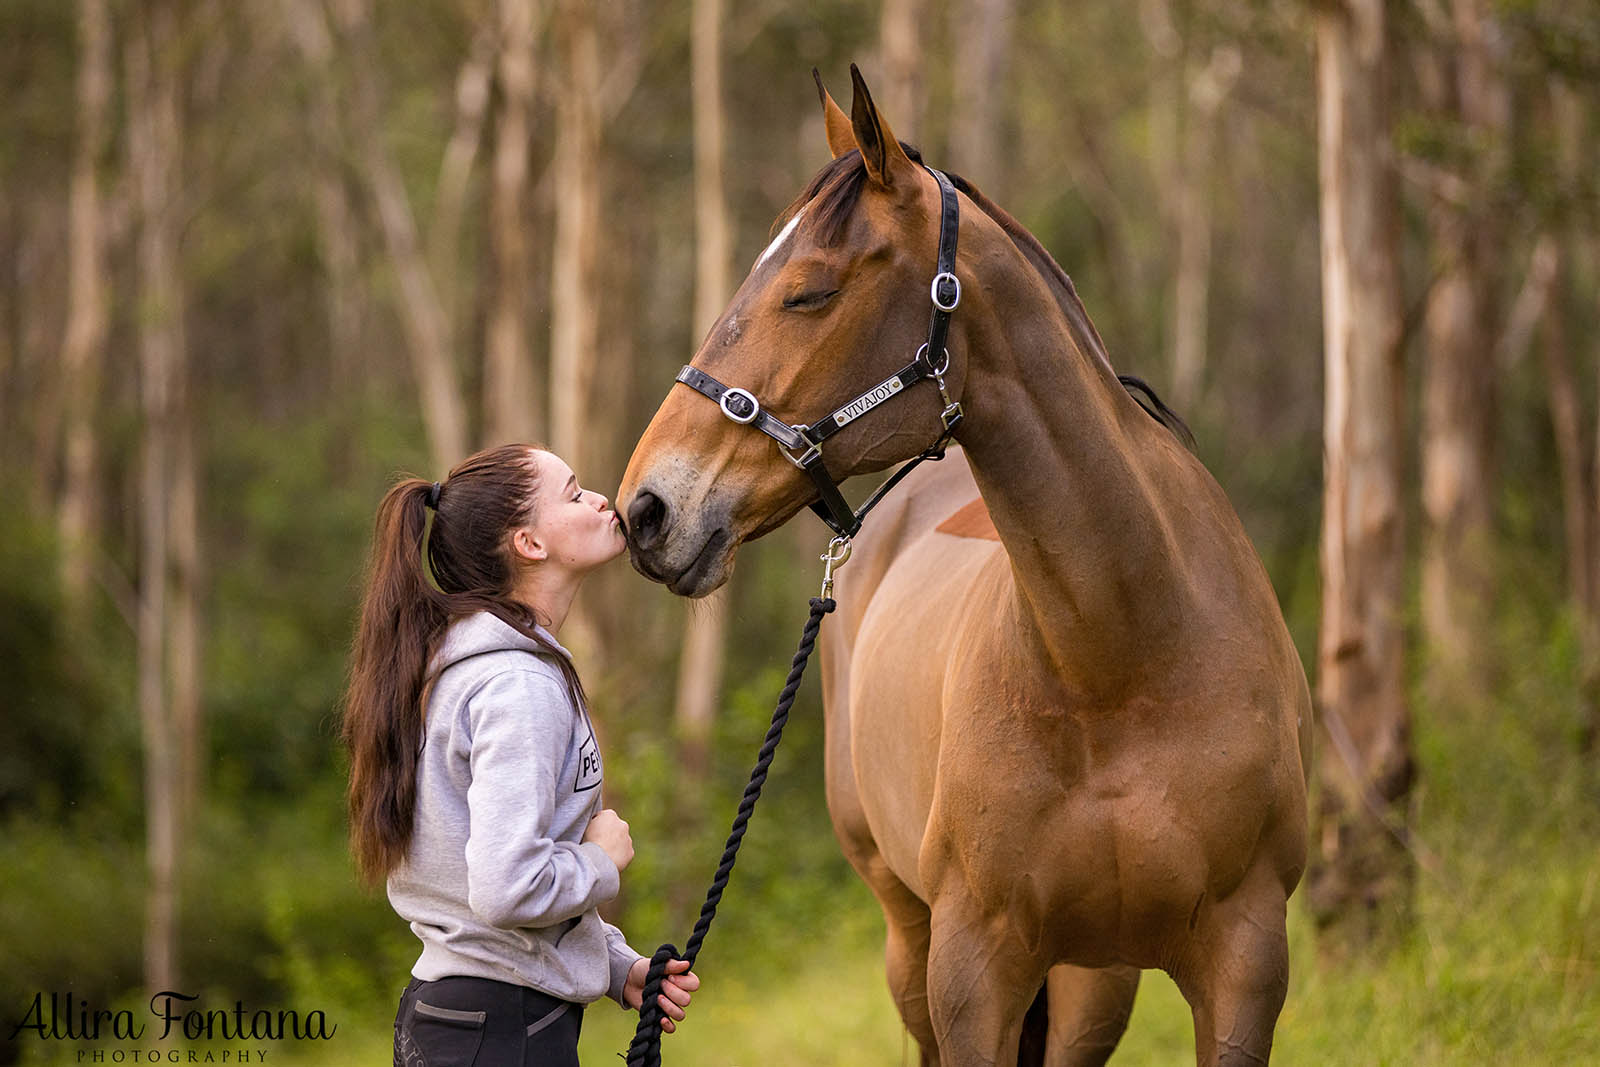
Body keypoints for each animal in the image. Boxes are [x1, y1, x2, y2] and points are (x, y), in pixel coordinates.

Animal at [617, 68, 1305, 1067]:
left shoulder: (1245, 961)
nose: (644, 510)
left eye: (810, 292)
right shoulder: (973, 971)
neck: (1123, 657)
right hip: (912, 942)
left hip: (1092, 984)